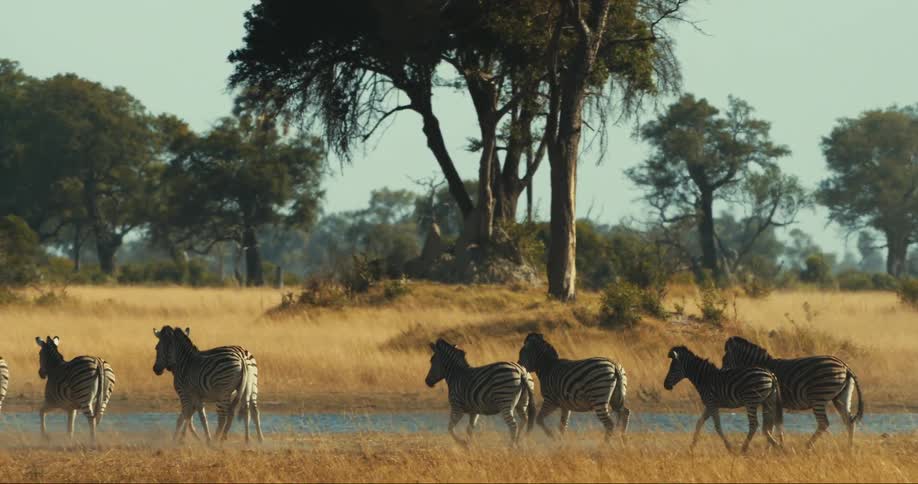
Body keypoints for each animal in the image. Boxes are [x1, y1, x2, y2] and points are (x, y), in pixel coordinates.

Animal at [722, 336, 864, 447]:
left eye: (724, 359)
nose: (722, 373)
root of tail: (845, 366)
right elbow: (774, 426)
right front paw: (772, 448)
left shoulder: (767, 401)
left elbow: (770, 426)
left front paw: (771, 448)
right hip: (841, 397)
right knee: (849, 421)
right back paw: (849, 449)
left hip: (818, 396)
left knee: (824, 423)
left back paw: (807, 446)